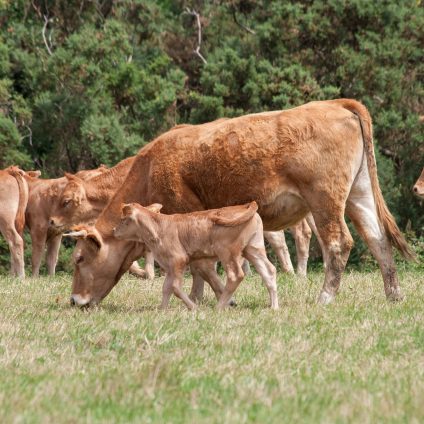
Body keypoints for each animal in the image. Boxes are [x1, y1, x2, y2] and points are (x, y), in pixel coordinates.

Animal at [111, 200, 280, 310]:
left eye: (123, 219)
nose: (113, 231)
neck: (158, 227)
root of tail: (247, 205)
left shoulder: (179, 259)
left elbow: (175, 287)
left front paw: (193, 308)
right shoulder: (170, 266)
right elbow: (166, 288)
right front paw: (162, 309)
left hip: (228, 252)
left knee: (236, 275)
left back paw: (219, 307)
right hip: (254, 248)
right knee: (269, 271)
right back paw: (274, 306)